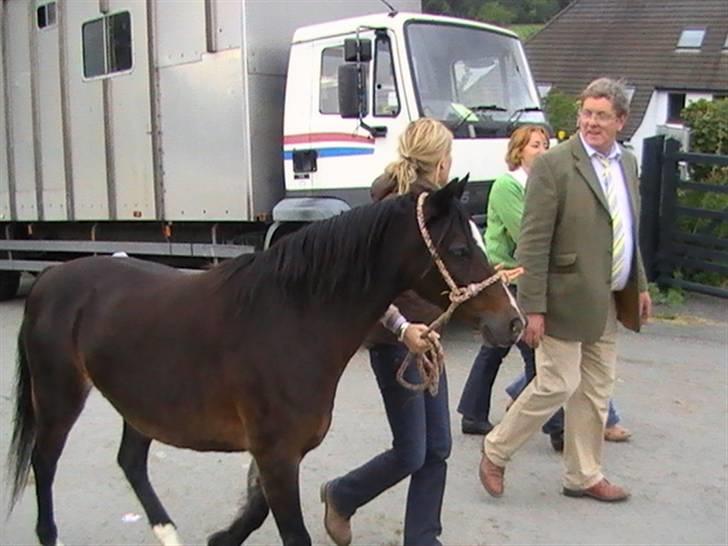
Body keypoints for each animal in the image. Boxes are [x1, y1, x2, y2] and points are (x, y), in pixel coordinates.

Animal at [7, 178, 524, 546]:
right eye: (459, 249)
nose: (513, 322)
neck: (292, 319)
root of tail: (50, 279)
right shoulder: (276, 454)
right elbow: (291, 532)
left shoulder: (276, 454)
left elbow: (255, 512)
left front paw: (221, 539)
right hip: (59, 396)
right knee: (44, 463)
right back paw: (49, 536)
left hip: (141, 404)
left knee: (130, 462)